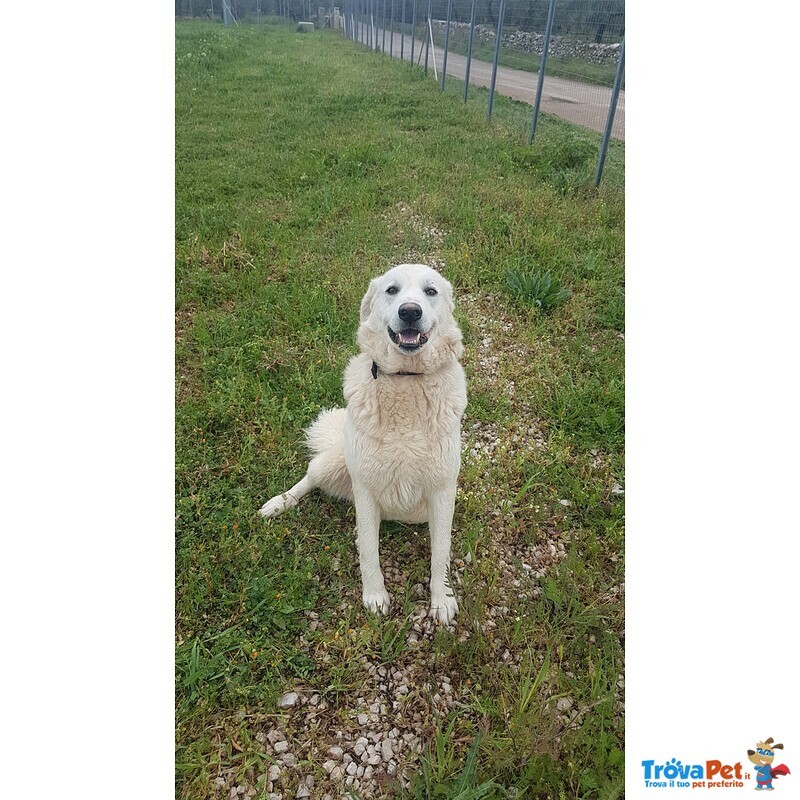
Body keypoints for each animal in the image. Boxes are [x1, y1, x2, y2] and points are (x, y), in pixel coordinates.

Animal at [260, 264, 466, 624]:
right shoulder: (366, 488)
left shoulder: (443, 491)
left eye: (430, 291)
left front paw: (442, 599)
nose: (409, 312)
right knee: (308, 479)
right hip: (336, 462)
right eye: (392, 290)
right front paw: (374, 596)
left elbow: (440, 552)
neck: (405, 381)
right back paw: (278, 503)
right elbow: (370, 549)